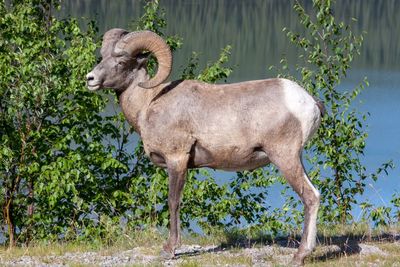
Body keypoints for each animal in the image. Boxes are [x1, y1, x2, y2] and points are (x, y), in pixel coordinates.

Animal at [86, 29, 324, 266]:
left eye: (121, 61)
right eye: (102, 57)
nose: (90, 79)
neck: (149, 103)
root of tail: (309, 102)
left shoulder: (177, 160)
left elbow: (173, 202)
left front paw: (170, 250)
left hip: (284, 157)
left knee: (310, 196)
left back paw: (299, 256)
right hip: (295, 158)